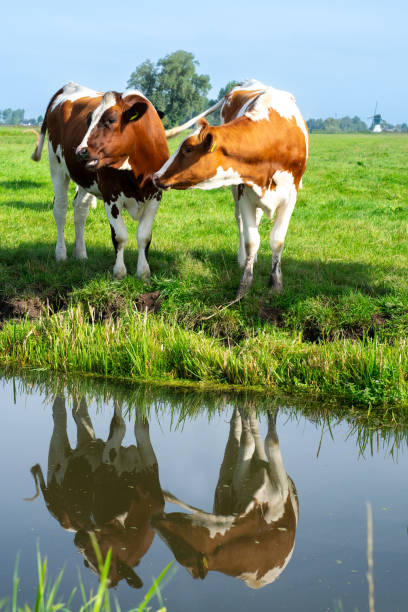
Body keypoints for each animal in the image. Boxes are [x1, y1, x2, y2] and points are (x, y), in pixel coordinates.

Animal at [151, 406, 298, 588]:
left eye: (181, 551)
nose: (153, 521)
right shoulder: (239, 485)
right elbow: (247, 441)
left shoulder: (280, 488)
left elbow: (270, 441)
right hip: (225, 472)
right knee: (238, 428)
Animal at [153, 79, 310, 296]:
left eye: (188, 149)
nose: (155, 176)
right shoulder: (244, 193)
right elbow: (252, 240)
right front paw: (245, 284)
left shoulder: (290, 197)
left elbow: (277, 240)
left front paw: (276, 284)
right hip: (236, 191)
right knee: (242, 223)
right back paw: (244, 259)